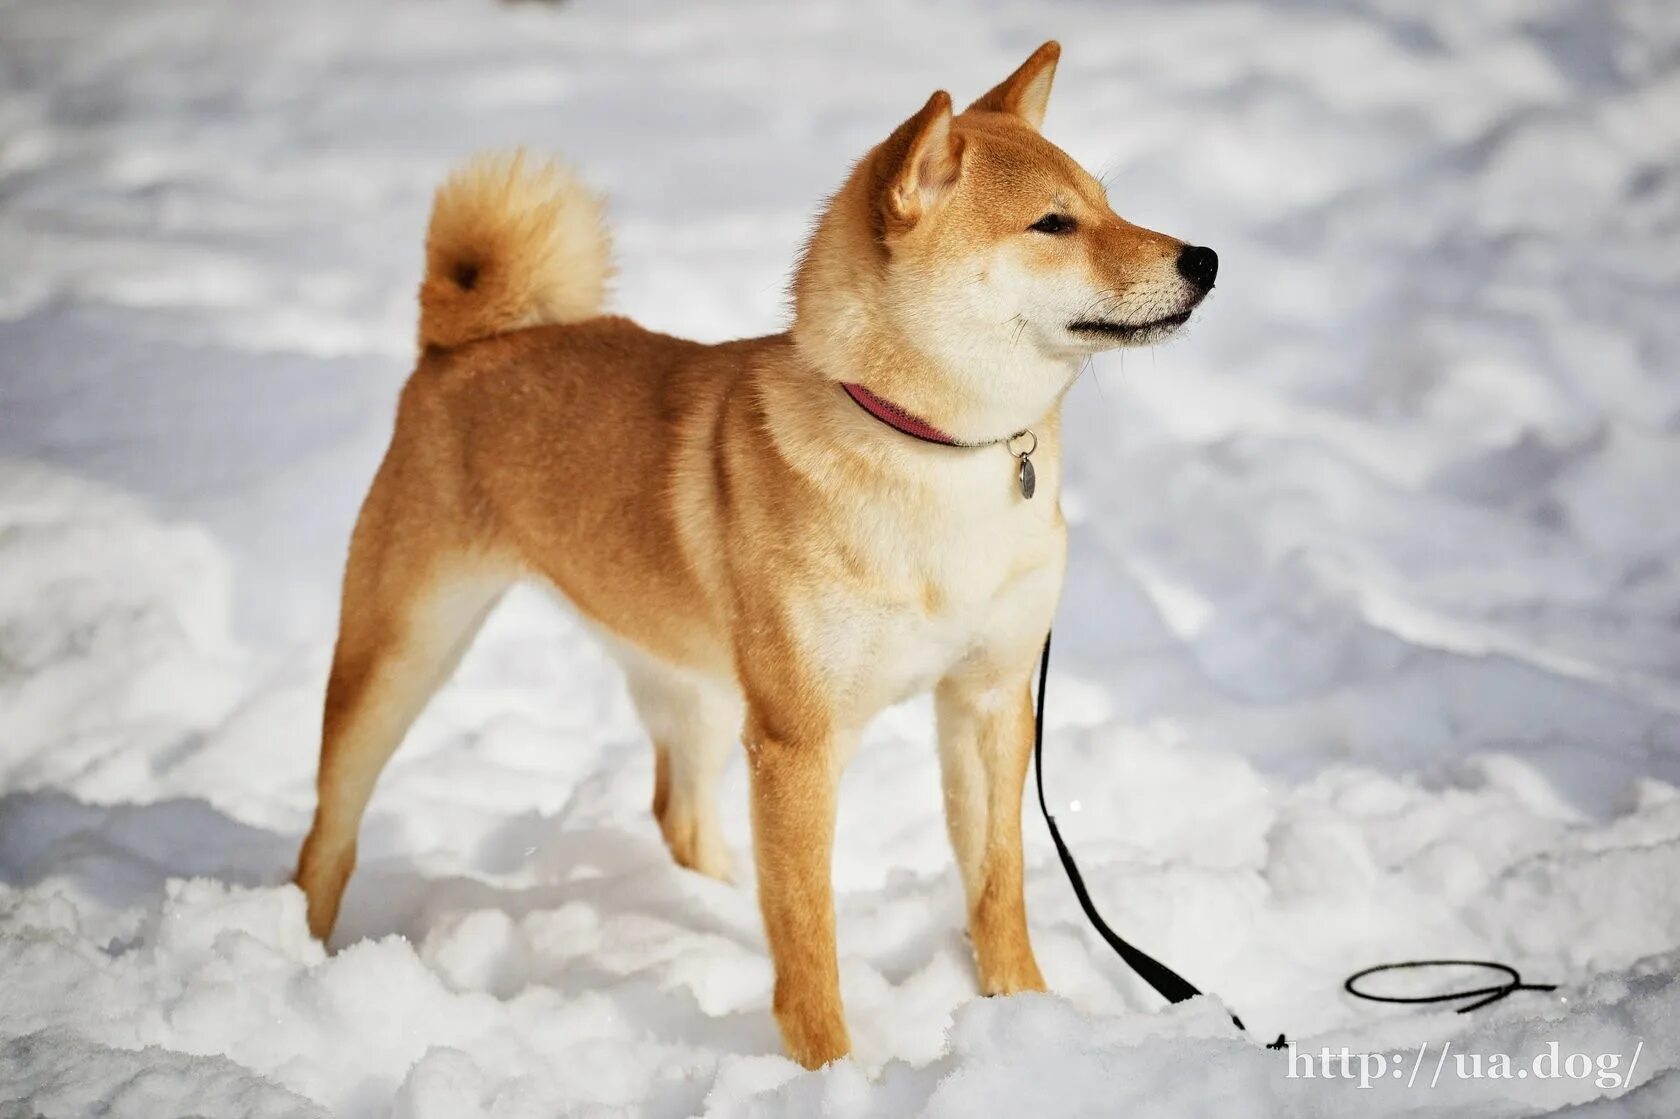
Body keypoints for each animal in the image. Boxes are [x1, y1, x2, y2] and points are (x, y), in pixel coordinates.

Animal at [295, 41, 1216, 1061]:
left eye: (1106, 202)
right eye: (1053, 223)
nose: (1206, 258)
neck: (936, 452)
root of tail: (460, 343)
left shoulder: (989, 698)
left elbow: (997, 883)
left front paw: (1026, 1016)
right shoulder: (798, 742)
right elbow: (809, 932)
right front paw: (829, 1067)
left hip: (686, 677)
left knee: (680, 813)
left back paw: (712, 905)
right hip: (401, 654)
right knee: (328, 835)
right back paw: (295, 949)